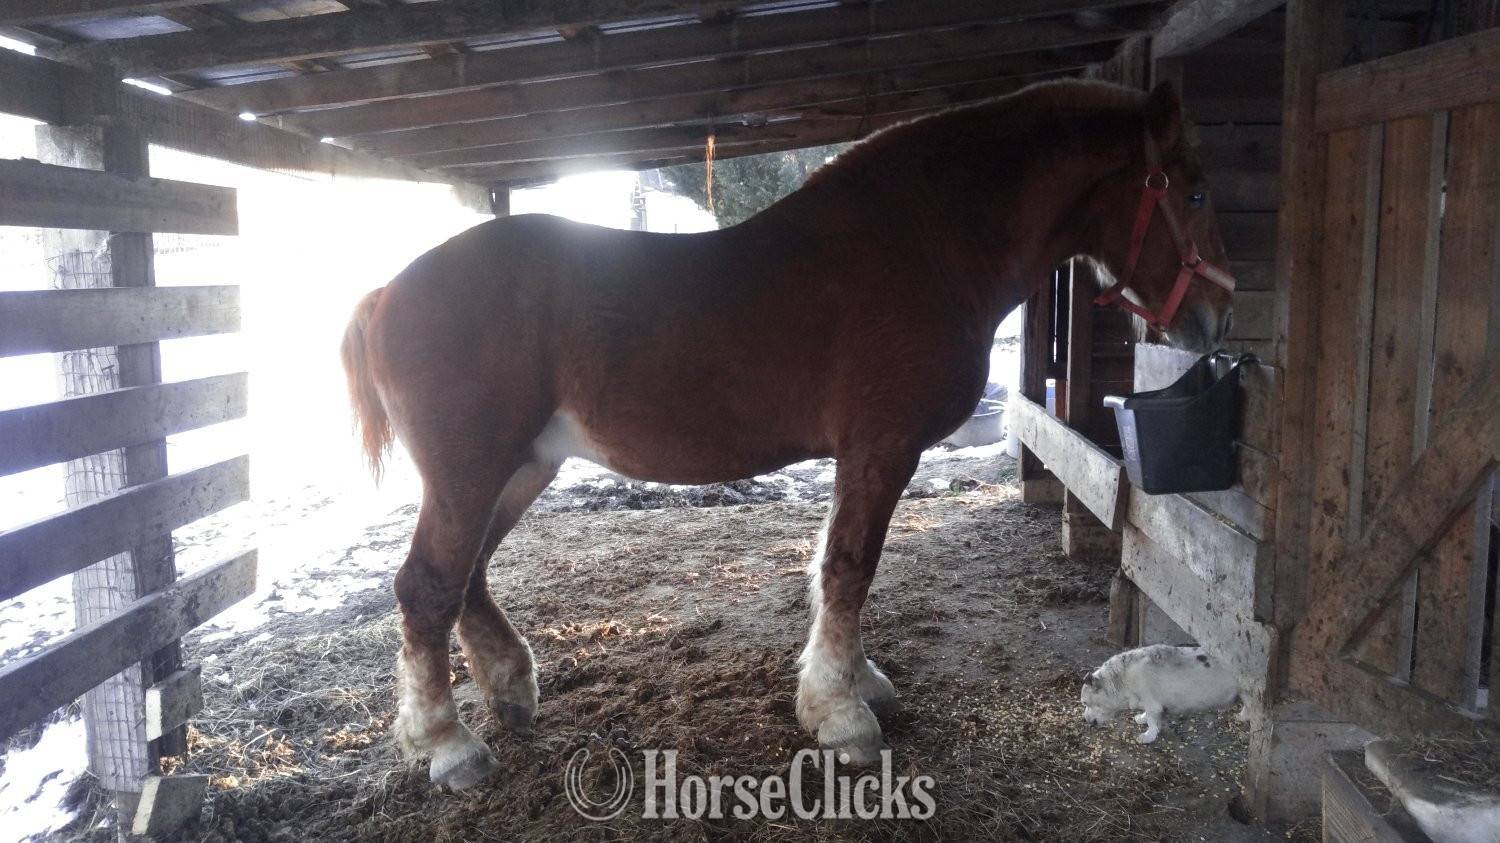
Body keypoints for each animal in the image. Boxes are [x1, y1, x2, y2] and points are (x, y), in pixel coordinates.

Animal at [340, 78, 1235, 791]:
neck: (928, 242)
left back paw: (508, 688)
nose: (1217, 315)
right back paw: (449, 745)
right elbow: (849, 569)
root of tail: (385, 294)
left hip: (520, 467)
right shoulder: (882, 446)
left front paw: (855, 682)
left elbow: (840, 572)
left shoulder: (863, 454)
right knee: (427, 587)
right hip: (471, 472)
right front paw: (842, 714)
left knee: (466, 578)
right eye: (1191, 191)